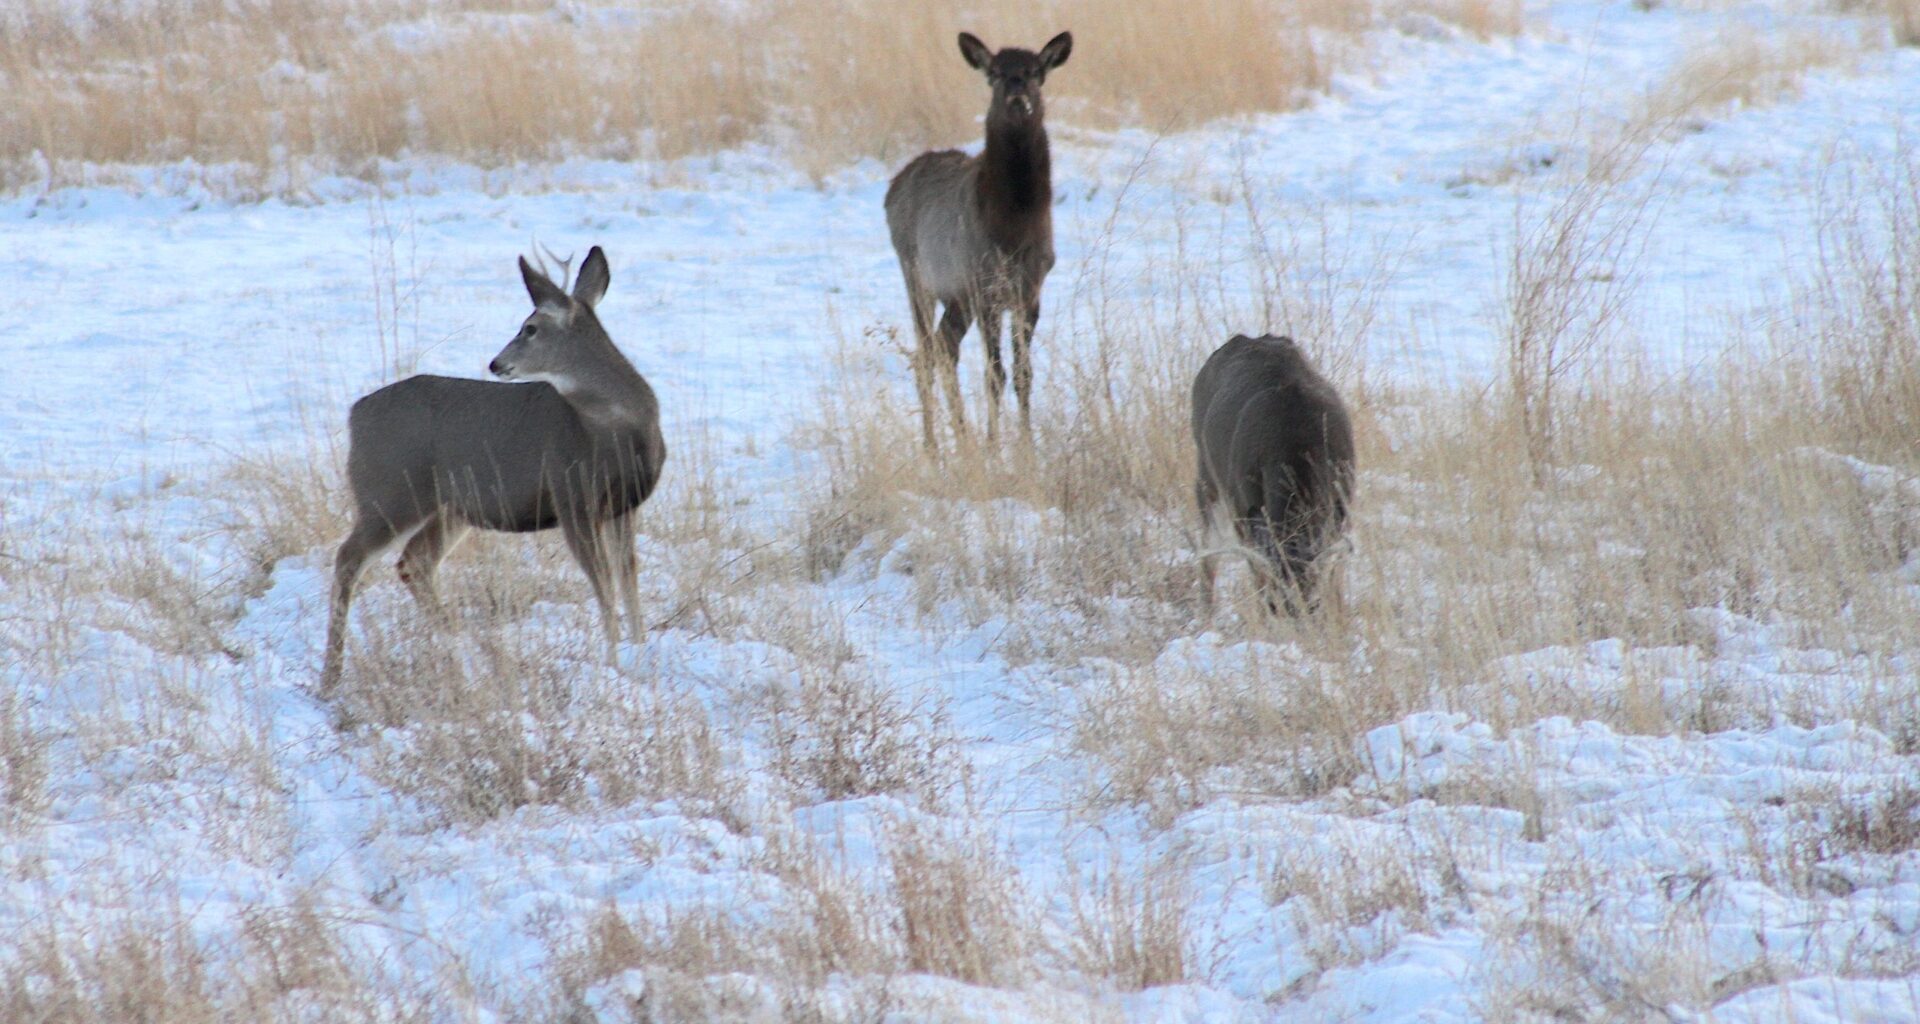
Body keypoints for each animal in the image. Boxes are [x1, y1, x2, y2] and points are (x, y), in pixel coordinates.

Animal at [319, 246, 665, 693]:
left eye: (530, 328)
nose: (496, 363)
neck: (615, 429)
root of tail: (354, 415)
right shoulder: (570, 493)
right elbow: (604, 584)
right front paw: (614, 662)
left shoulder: (624, 505)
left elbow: (628, 578)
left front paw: (639, 651)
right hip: (389, 490)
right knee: (349, 558)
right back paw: (331, 676)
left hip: (449, 507)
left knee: (414, 562)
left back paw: (458, 644)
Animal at [884, 30, 1072, 451]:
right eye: (995, 73)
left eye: (1035, 72)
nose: (1017, 99)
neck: (1015, 225)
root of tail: (893, 186)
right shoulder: (986, 285)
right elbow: (994, 375)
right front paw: (994, 449)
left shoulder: (1030, 289)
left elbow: (1023, 374)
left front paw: (1026, 449)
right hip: (916, 274)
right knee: (925, 353)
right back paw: (934, 448)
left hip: (957, 296)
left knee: (944, 346)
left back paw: (961, 439)